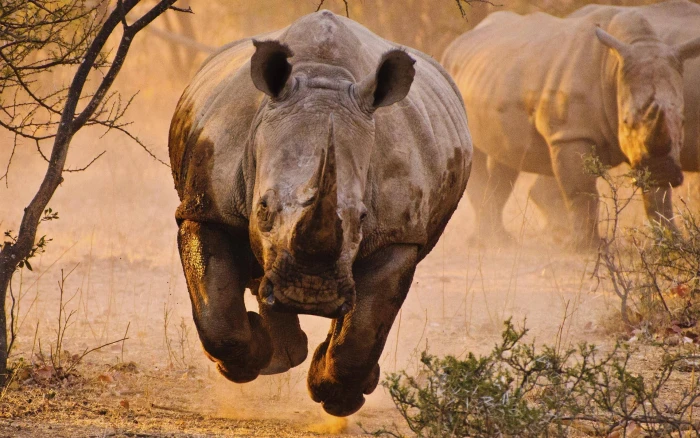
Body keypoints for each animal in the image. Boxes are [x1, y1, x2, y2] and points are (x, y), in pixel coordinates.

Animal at [168, 11, 472, 416]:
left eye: (362, 217)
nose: (309, 292)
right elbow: (218, 317)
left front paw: (338, 397)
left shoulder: (399, 234)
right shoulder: (206, 207)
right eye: (262, 208)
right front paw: (249, 360)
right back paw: (280, 356)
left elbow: (363, 331)